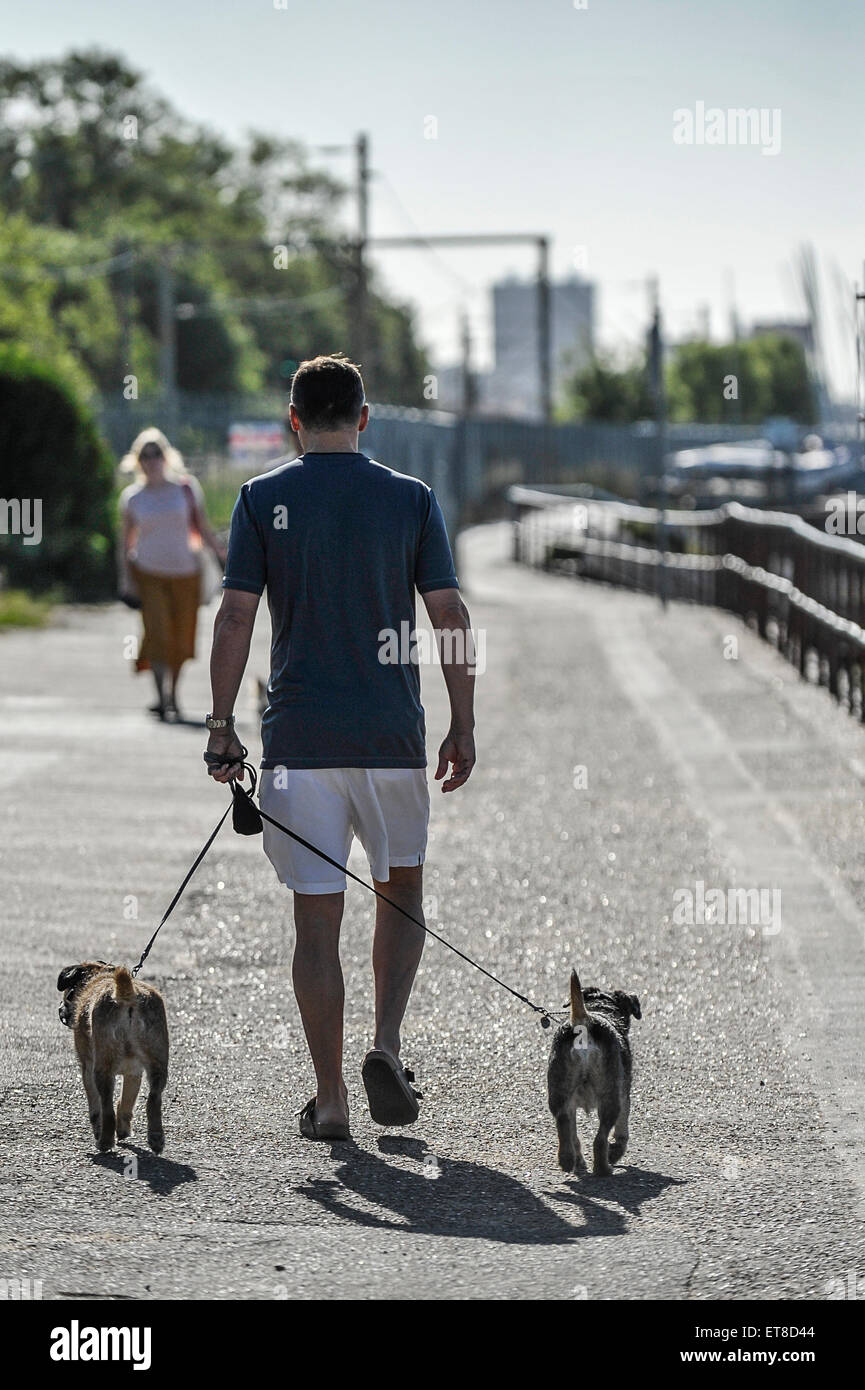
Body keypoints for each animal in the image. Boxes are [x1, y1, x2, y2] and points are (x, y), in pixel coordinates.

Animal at [547, 973, 645, 1178]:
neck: (600, 1008)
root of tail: (585, 1021)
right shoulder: (625, 1094)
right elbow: (622, 1131)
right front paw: (615, 1152)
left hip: (559, 1090)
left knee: (564, 1123)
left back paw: (567, 1159)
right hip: (610, 1096)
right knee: (600, 1138)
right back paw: (603, 1168)